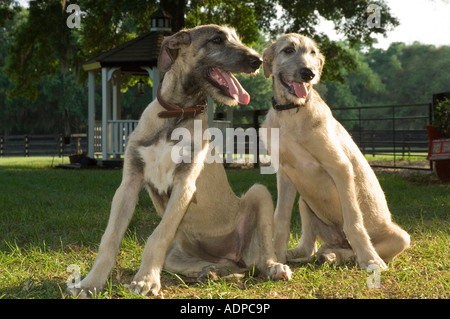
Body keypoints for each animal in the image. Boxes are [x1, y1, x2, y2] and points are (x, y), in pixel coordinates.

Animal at [74, 24, 292, 298]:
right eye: (217, 39)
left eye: (237, 38)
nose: (257, 60)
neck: (176, 114)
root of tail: (232, 255)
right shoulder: (129, 184)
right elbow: (110, 238)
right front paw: (91, 282)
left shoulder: (184, 184)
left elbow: (158, 235)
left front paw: (146, 279)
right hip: (179, 256)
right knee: (230, 267)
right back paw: (211, 271)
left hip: (259, 195)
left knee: (262, 256)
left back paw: (274, 267)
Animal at [260, 34, 412, 270]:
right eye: (288, 50)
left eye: (313, 53)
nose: (308, 73)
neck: (292, 113)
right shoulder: (285, 174)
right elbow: (281, 219)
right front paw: (275, 259)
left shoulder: (340, 167)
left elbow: (354, 221)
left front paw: (369, 259)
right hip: (305, 201)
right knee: (310, 246)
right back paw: (306, 253)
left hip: (401, 237)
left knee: (348, 248)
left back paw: (338, 256)